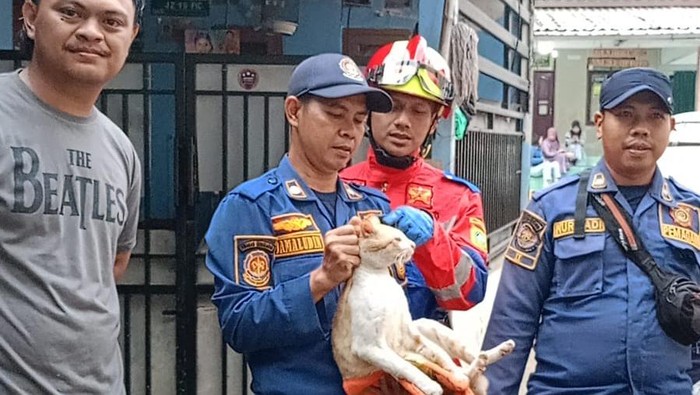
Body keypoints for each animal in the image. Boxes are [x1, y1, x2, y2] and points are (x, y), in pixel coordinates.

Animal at [334, 217, 516, 395]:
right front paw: (430, 386)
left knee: (467, 364)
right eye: (397, 239)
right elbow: (404, 366)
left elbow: (440, 355)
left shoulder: (410, 334)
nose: (413, 245)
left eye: (405, 235)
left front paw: (454, 377)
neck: (380, 277)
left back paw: (496, 353)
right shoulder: (369, 347)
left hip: (427, 325)